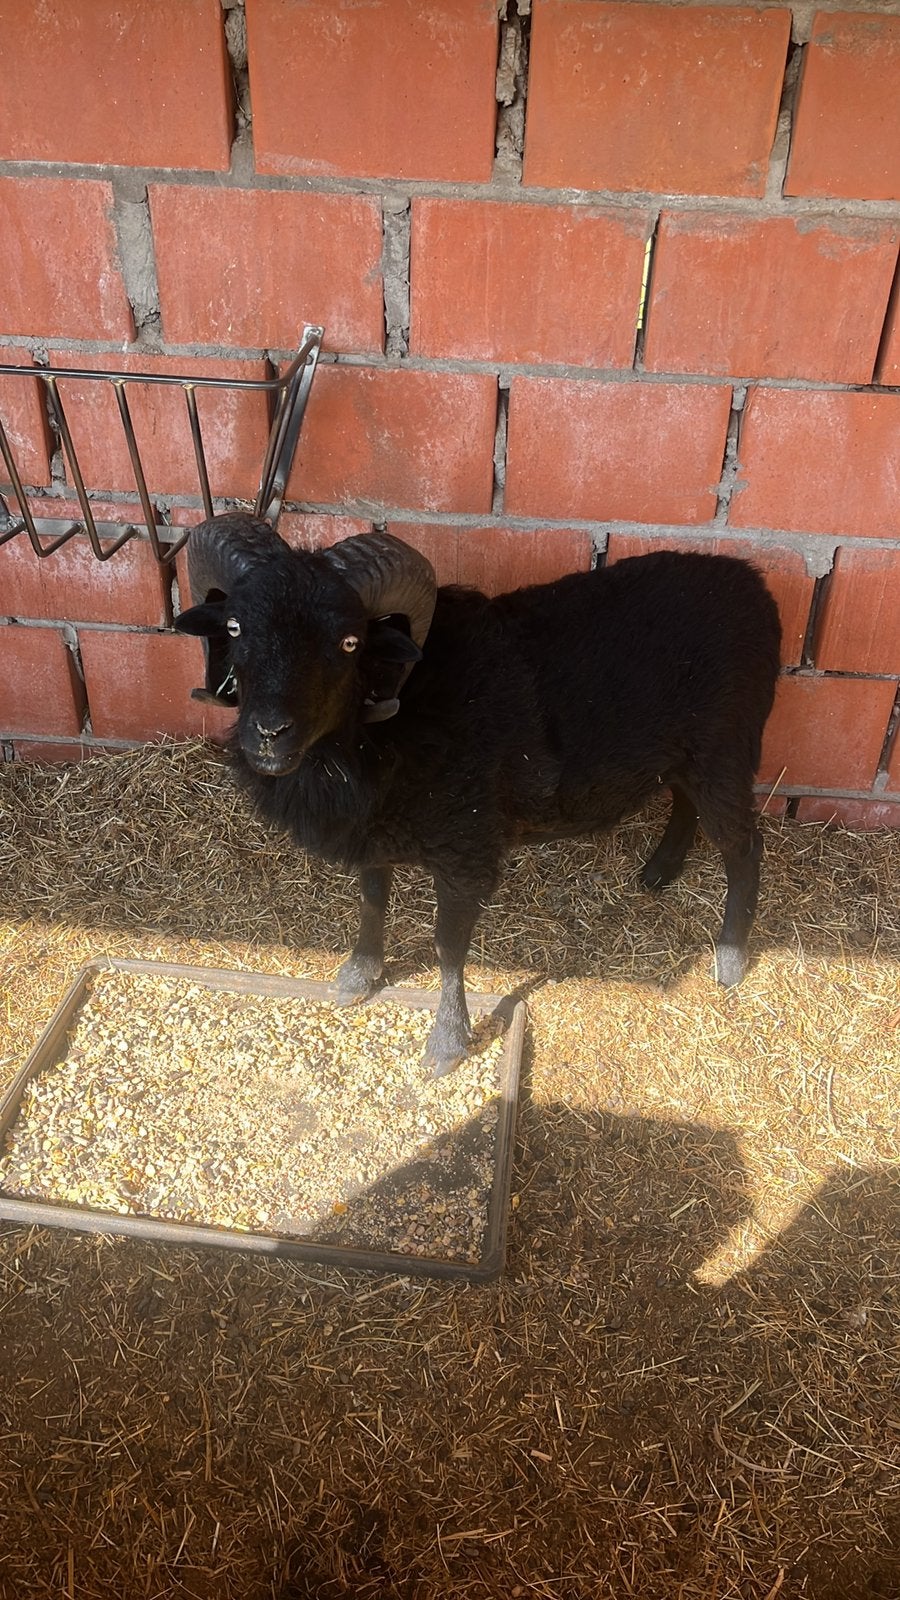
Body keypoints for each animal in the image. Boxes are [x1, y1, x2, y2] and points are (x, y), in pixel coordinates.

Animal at [175, 514, 782, 1076]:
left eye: (349, 643)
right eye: (235, 627)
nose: (269, 733)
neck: (384, 725)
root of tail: (754, 584)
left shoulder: (465, 848)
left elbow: (448, 947)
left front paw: (447, 1043)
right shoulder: (373, 832)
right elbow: (373, 899)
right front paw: (358, 975)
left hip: (725, 748)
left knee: (744, 847)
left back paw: (730, 959)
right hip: (688, 753)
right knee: (684, 801)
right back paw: (660, 871)